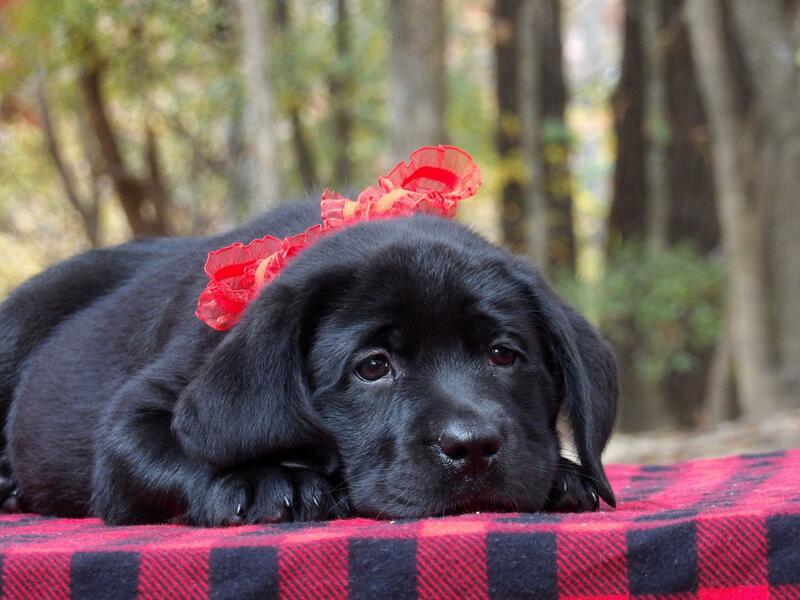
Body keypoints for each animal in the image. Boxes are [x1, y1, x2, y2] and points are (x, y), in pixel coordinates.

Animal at [0, 153, 617, 526]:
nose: (472, 447)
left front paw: (564, 475)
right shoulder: (132, 424)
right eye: (372, 367)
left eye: (503, 354)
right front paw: (267, 478)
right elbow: (177, 448)